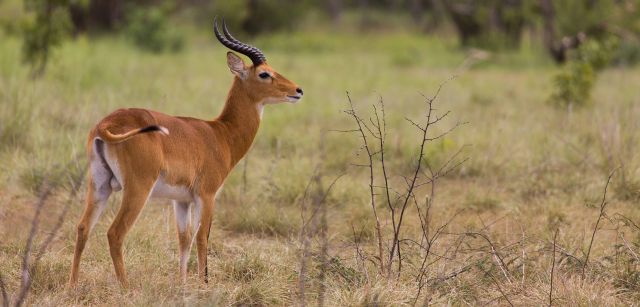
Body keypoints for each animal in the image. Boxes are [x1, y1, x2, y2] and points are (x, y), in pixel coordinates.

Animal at [69, 18, 304, 288]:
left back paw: (72, 286)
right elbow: (202, 237)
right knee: (115, 233)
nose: (298, 90)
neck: (220, 134)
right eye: (264, 73)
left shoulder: (181, 200)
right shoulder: (207, 195)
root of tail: (107, 124)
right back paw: (127, 289)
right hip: (137, 189)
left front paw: (182, 285)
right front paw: (204, 285)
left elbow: (184, 239)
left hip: (99, 185)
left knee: (83, 227)